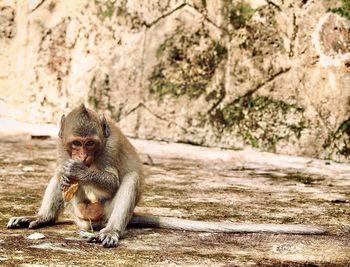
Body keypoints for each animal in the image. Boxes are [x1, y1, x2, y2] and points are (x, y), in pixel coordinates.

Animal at [6, 104, 326, 249]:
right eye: (76, 144)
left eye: (90, 144)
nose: (82, 157)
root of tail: (90, 222)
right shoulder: (61, 147)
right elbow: (60, 172)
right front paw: (68, 174)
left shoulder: (109, 150)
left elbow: (112, 180)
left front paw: (80, 172)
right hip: (79, 214)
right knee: (58, 179)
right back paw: (41, 218)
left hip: (104, 214)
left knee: (130, 181)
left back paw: (111, 231)